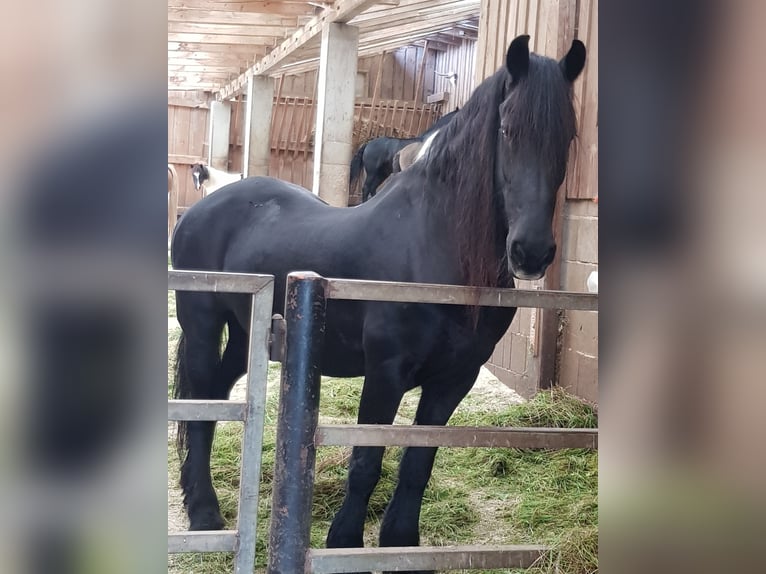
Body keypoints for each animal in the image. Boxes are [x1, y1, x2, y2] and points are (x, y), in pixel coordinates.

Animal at [171, 36, 585, 570]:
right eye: (508, 129)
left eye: (567, 137)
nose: (531, 252)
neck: (430, 249)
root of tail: (200, 207)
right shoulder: (385, 373)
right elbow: (367, 460)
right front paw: (343, 543)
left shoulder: (455, 379)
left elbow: (417, 463)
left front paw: (400, 542)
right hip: (202, 324)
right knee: (197, 401)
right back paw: (204, 514)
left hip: (246, 334)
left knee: (216, 396)